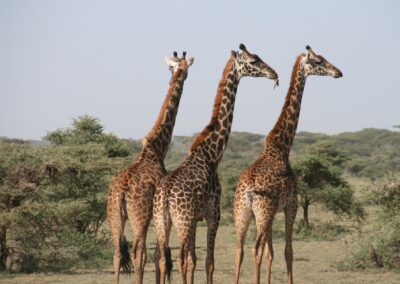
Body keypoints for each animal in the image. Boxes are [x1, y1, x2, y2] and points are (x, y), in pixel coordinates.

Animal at [106, 51, 194, 284]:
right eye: (181, 68)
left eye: (172, 67)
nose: (180, 74)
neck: (156, 148)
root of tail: (122, 191)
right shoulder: (157, 215)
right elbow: (158, 255)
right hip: (140, 217)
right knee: (139, 252)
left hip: (113, 215)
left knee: (117, 253)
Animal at [152, 43, 278, 284]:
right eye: (253, 61)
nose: (273, 73)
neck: (212, 153)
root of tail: (165, 195)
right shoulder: (213, 214)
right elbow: (208, 262)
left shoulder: (196, 219)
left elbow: (194, 260)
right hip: (181, 222)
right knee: (178, 259)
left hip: (162, 223)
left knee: (163, 259)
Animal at [233, 45, 342, 282]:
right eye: (318, 61)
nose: (338, 72)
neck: (282, 146)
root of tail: (248, 192)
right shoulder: (291, 205)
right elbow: (287, 252)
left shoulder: (275, 211)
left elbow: (271, 254)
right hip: (262, 213)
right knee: (256, 249)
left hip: (242, 214)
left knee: (241, 250)